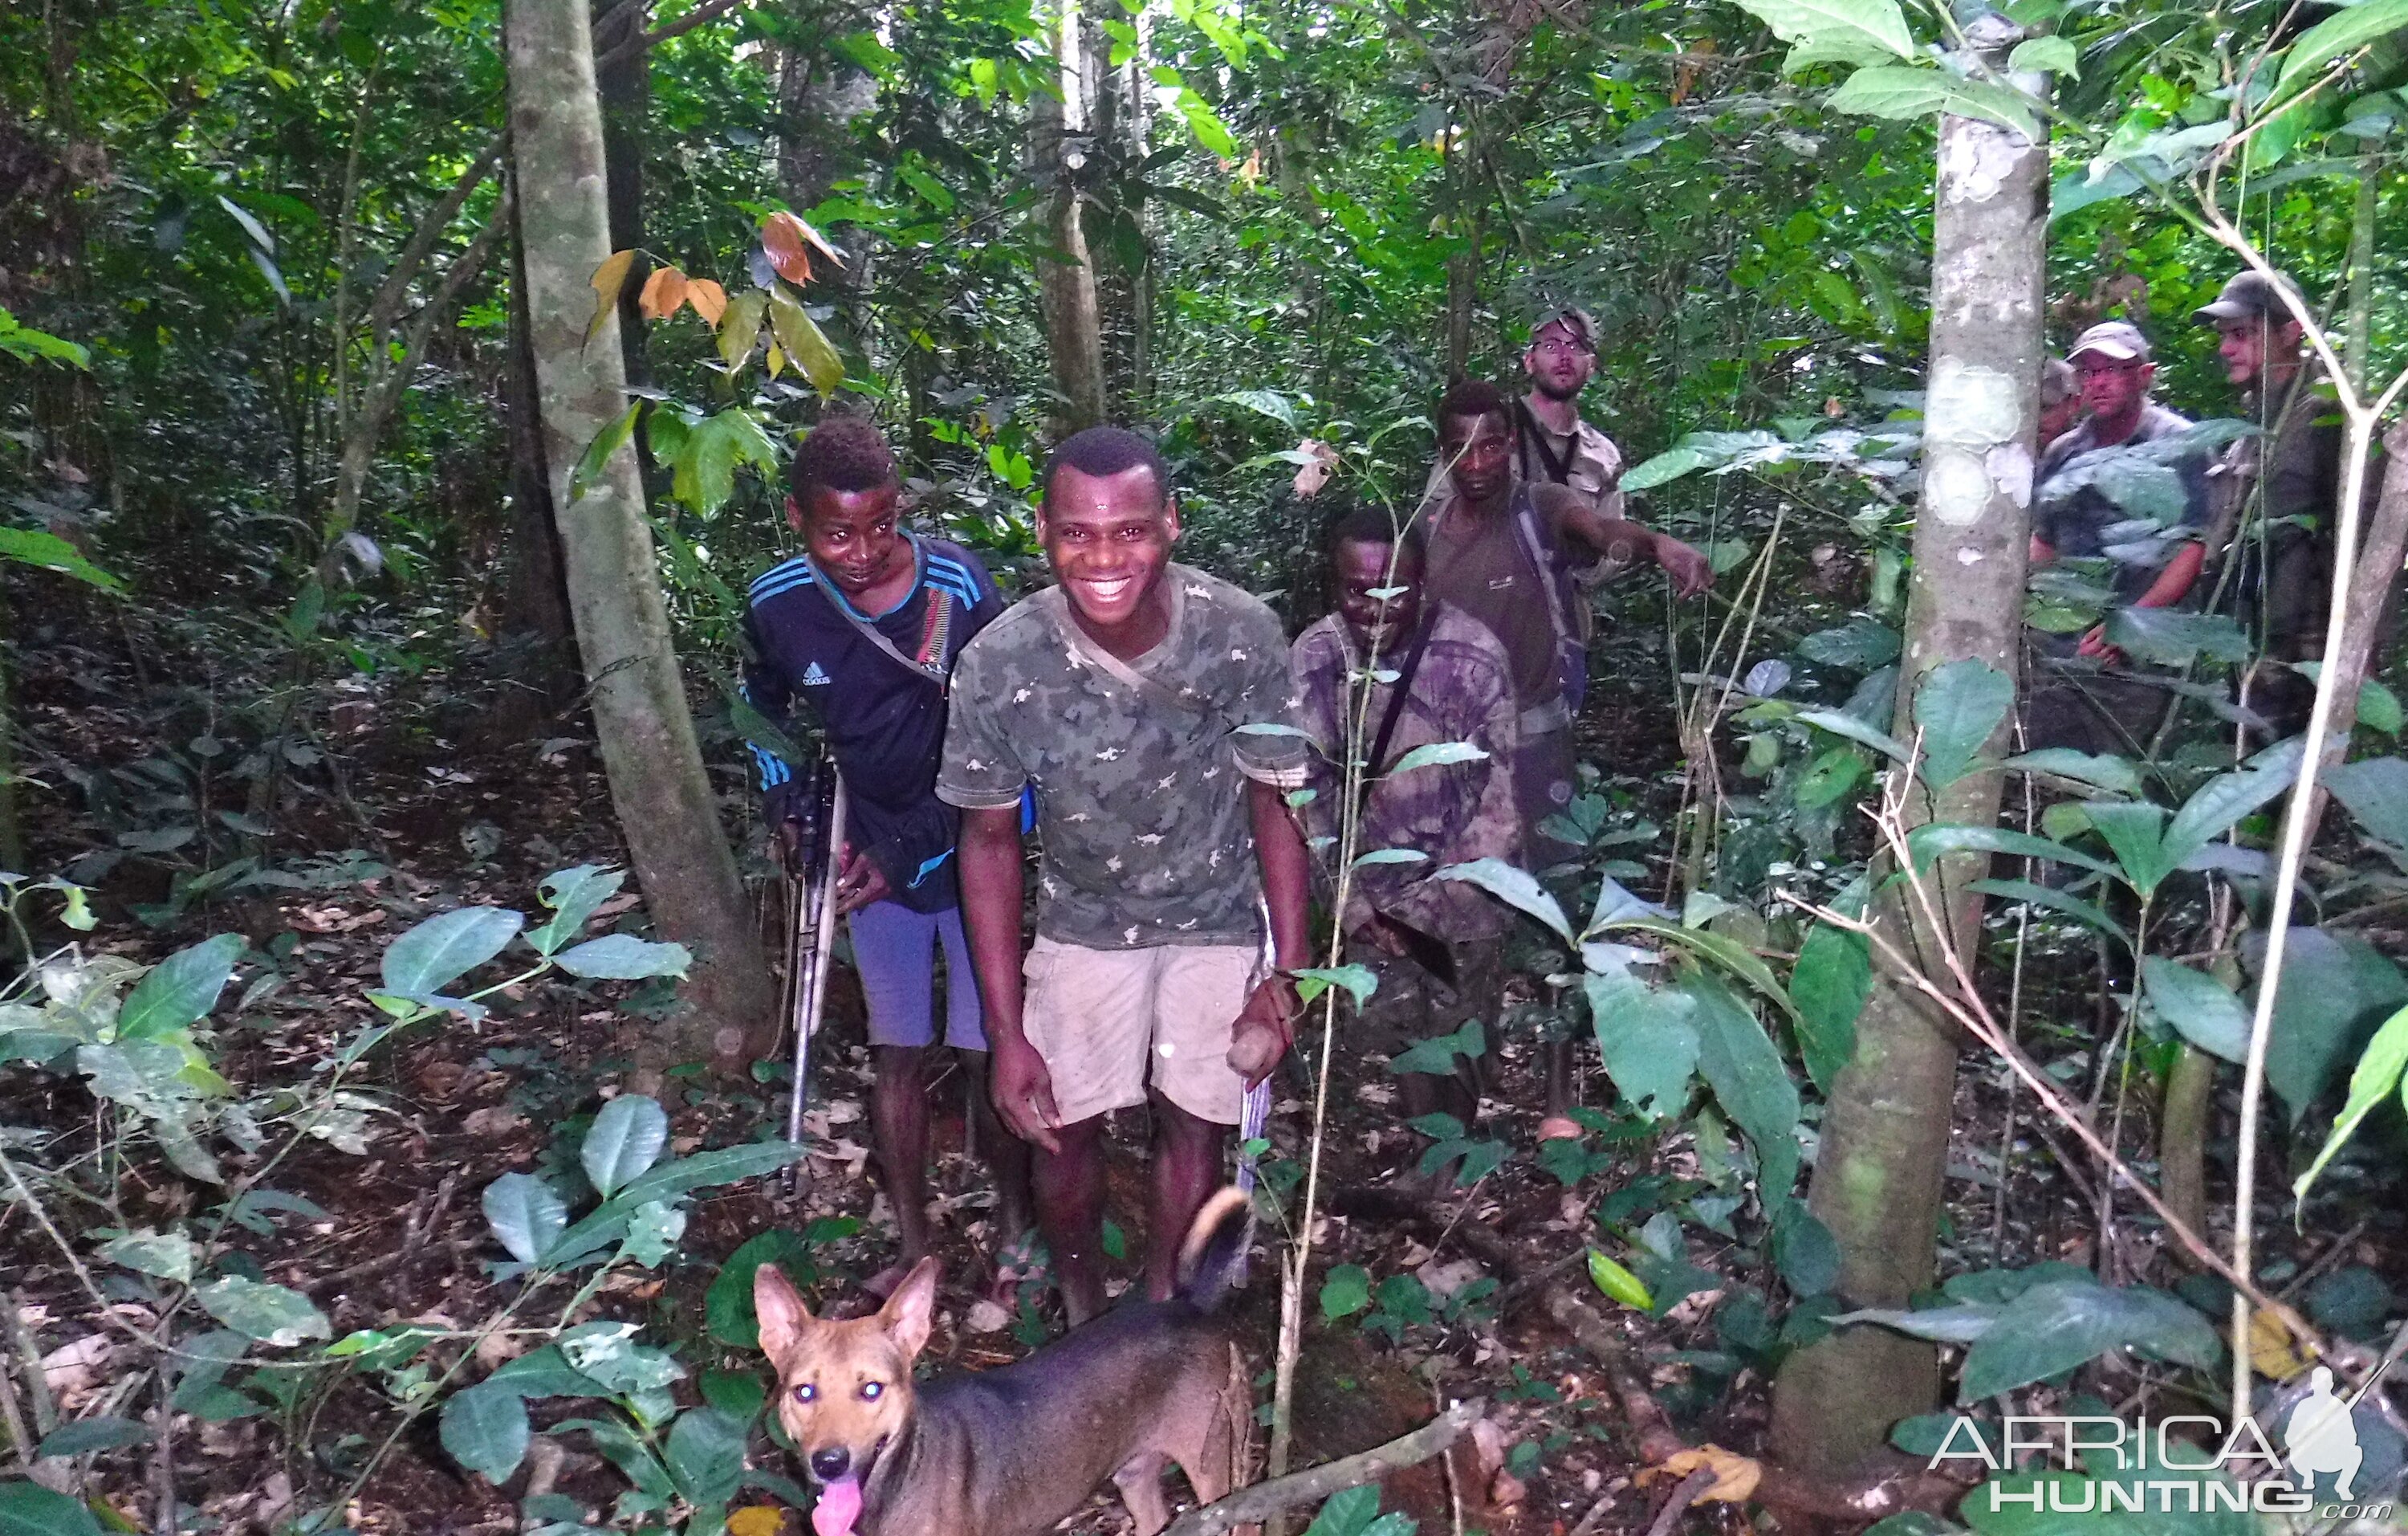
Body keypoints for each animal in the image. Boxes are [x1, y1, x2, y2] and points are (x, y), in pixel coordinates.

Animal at [756, 1194, 1262, 1536]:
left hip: (1220, 1466)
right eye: (804, 1392)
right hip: (1134, 1472)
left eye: (872, 1389)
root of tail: (1192, 1303)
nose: (830, 1463)